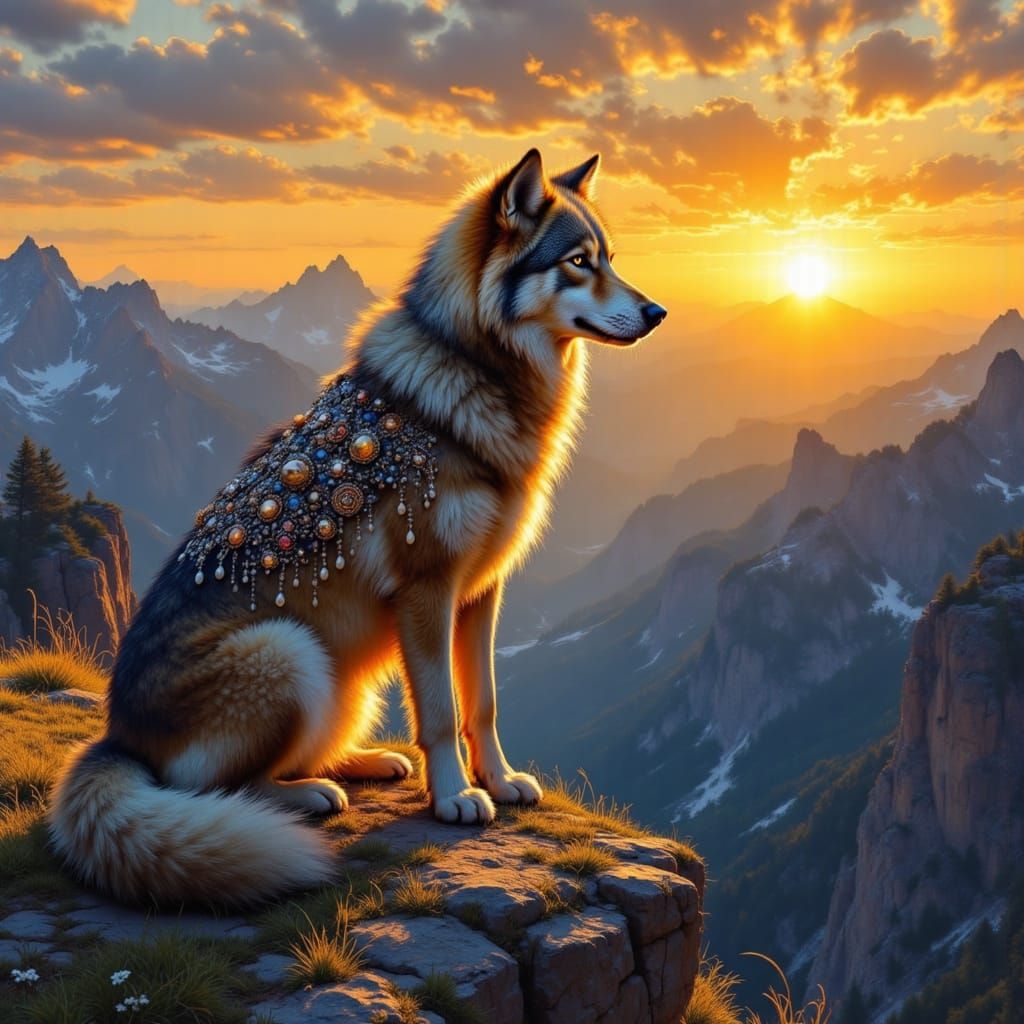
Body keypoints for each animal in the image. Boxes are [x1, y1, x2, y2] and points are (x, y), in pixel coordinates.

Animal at [49, 149, 667, 906]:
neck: (474, 371)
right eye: (578, 262)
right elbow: (440, 711)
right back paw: (309, 795)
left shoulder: (481, 592)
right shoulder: (427, 591)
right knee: (220, 789)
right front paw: (455, 797)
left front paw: (498, 780)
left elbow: (483, 702)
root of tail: (118, 739)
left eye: (609, 258)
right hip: (289, 652)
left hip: (345, 682)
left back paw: (365, 762)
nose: (658, 312)